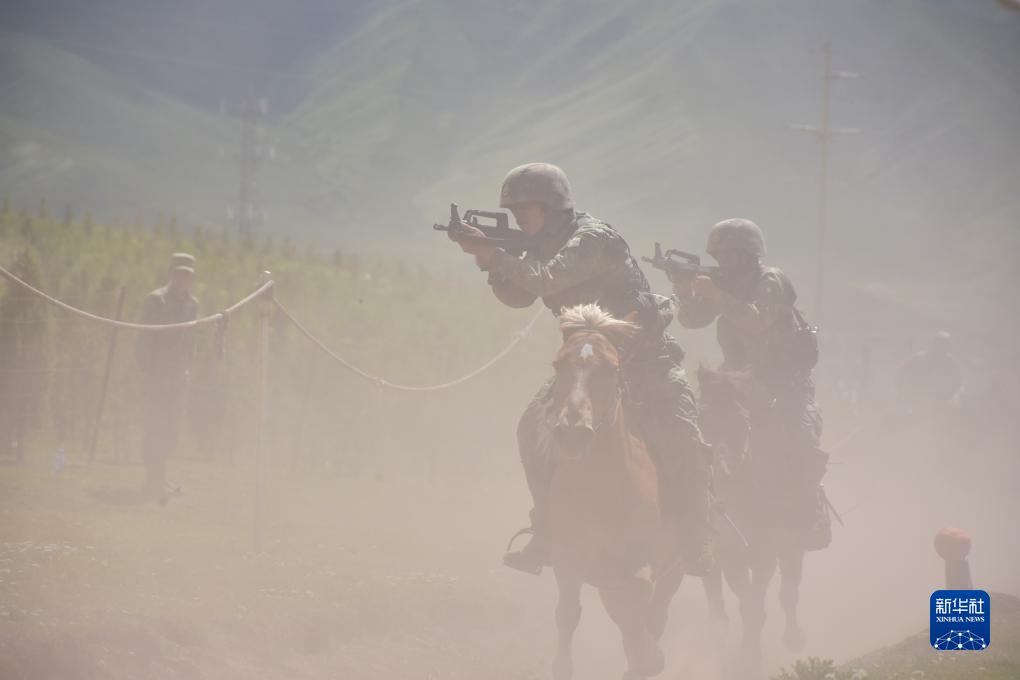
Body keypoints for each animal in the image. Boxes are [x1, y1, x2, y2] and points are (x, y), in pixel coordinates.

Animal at [545, 304, 681, 680]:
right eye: (558, 364)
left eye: (612, 368)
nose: (572, 432)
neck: (603, 490)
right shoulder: (567, 559)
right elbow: (567, 615)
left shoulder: (641, 567)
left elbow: (640, 619)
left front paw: (648, 659)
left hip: (672, 573)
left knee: (651, 616)